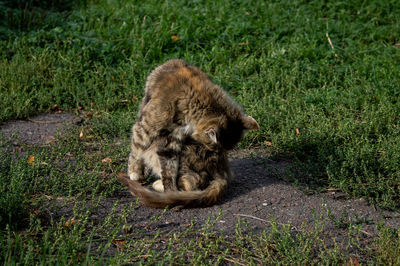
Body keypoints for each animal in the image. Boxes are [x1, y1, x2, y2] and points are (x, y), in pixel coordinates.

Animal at [128, 59, 260, 192]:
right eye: (214, 147)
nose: (217, 154)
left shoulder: (173, 140)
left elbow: (169, 169)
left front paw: (170, 190)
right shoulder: (145, 129)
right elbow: (136, 151)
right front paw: (135, 173)